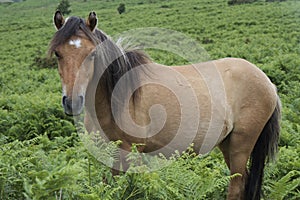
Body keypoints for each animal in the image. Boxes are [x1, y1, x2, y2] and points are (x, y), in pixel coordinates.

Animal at [49, 11, 282, 200]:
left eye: (93, 54)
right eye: (58, 53)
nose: (72, 102)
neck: (117, 97)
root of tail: (268, 82)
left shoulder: (130, 152)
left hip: (242, 145)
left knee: (236, 186)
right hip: (227, 143)